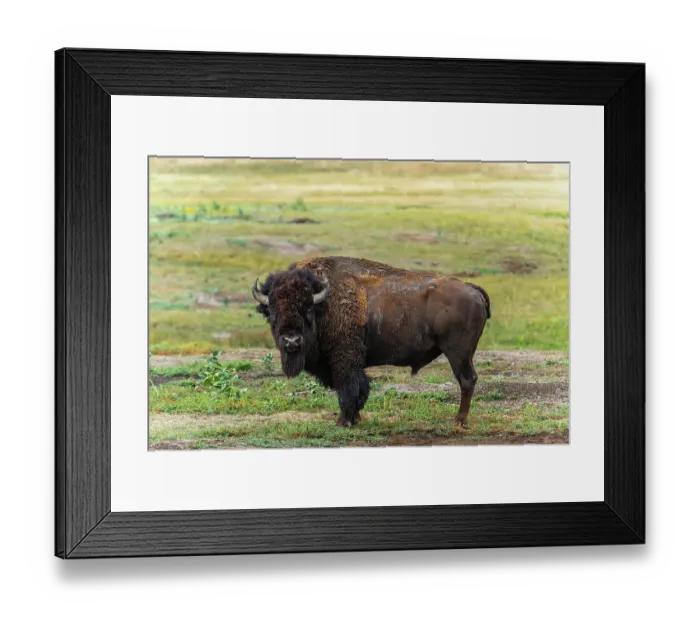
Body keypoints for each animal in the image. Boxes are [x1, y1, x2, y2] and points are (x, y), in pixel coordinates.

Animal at [252, 256, 491, 428]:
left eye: (307, 309)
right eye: (272, 311)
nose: (291, 341)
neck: (325, 305)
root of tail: (472, 288)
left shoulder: (345, 361)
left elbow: (348, 389)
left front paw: (344, 422)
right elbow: (359, 388)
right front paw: (355, 418)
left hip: (457, 353)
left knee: (467, 380)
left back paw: (459, 420)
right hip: (466, 353)